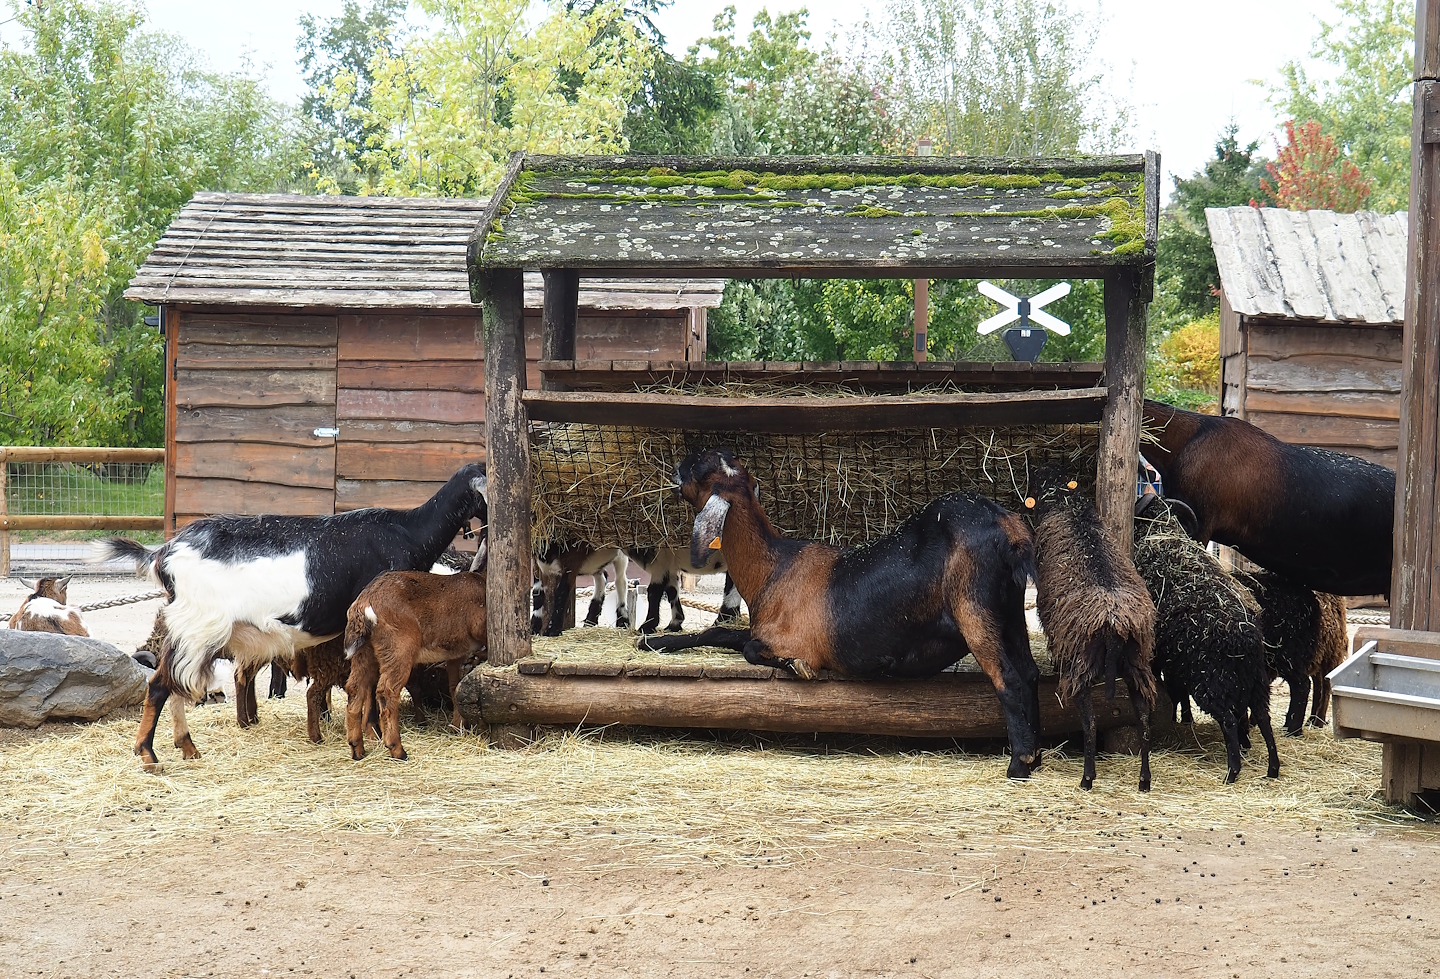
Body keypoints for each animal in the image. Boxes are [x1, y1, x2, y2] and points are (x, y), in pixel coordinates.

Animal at [343, 547, 487, 761]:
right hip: (399, 648)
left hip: (365, 652)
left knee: (354, 688)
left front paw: (457, 727)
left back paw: (357, 749)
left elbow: (455, 687)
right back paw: (397, 749)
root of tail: (364, 603)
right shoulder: (480, 631)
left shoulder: (455, 654)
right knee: (387, 691)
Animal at [639, 448, 1042, 780]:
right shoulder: (762, 627)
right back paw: (1036, 754)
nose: (675, 467)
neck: (772, 569)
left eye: (701, 467)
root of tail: (1007, 526)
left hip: (972, 605)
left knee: (1007, 678)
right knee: (1030, 672)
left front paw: (796, 666)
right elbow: (716, 633)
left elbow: (753, 651)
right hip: (1011, 609)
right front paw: (652, 642)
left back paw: (1019, 764)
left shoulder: (788, 638)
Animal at [1028, 470, 1158, 791]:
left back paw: (1087, 778)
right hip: (1137, 666)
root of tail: (1114, 629)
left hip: (1081, 666)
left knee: (1091, 723)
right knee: (1144, 723)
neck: (1068, 506)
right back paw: (1144, 781)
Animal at [1132, 496, 1279, 784]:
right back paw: (1272, 769)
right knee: (1263, 718)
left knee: (1230, 721)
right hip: (1256, 683)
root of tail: (1245, 640)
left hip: (1213, 682)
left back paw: (1232, 772)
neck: (1160, 532)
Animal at [1230, 569, 1351, 736]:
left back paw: (1300, 727)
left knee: (1308, 685)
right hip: (1312, 655)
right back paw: (1308, 721)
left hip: (1300, 653)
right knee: (1317, 683)